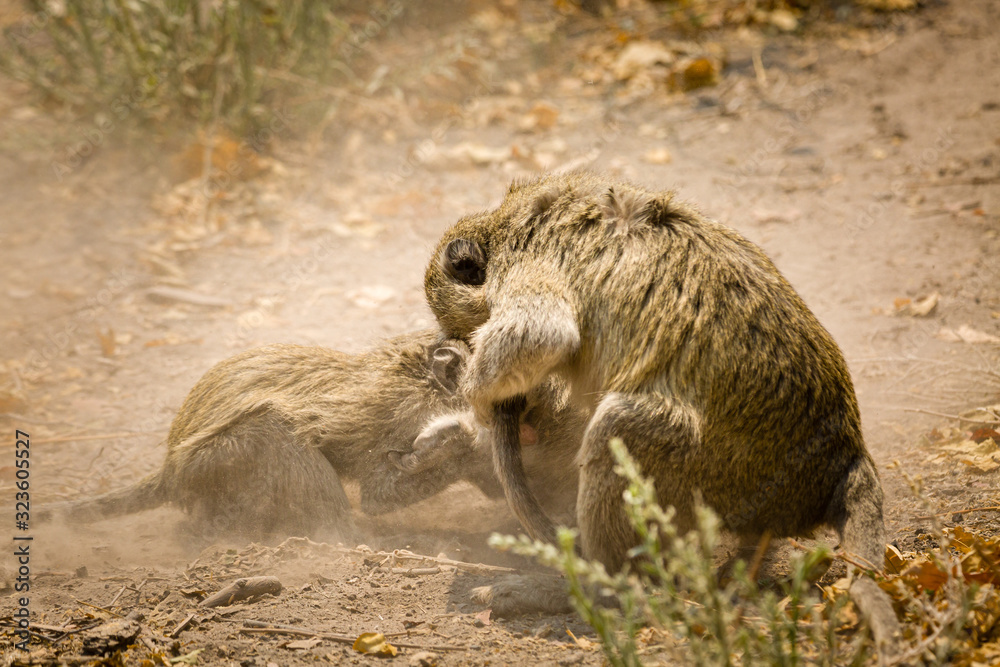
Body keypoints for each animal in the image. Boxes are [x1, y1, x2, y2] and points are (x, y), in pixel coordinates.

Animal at [423, 171, 900, 650]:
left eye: (469, 329)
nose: (511, 407)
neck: (504, 221)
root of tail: (844, 458)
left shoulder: (529, 260)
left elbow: (541, 335)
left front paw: (482, 399)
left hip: (717, 474)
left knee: (619, 427)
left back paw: (592, 587)